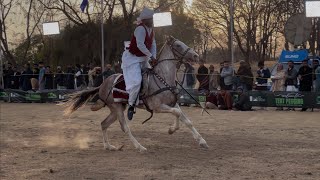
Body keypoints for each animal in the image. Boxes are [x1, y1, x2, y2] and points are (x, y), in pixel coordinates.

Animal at [64, 36, 210, 152]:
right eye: (178, 45)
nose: (196, 56)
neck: (162, 77)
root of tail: (102, 84)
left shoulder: (173, 104)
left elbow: (185, 119)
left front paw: (201, 141)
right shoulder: (157, 107)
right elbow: (178, 114)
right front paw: (172, 129)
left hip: (116, 109)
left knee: (103, 124)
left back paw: (108, 146)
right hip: (117, 108)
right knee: (125, 128)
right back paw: (139, 147)